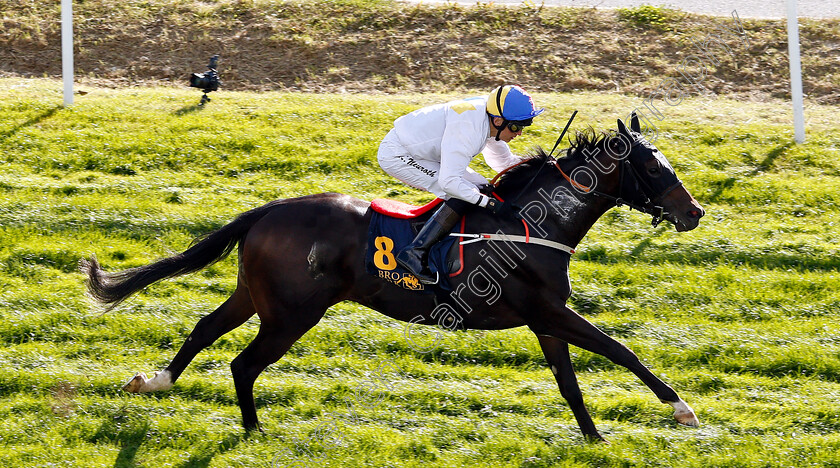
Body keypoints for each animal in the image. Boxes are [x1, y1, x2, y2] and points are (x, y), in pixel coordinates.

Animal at [82, 115, 704, 440]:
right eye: (653, 167)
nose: (694, 211)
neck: (531, 224)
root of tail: (269, 210)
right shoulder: (548, 311)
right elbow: (621, 350)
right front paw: (681, 408)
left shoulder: (545, 321)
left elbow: (570, 382)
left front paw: (594, 438)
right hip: (292, 314)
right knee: (242, 362)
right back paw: (255, 431)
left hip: (256, 297)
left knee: (204, 329)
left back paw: (155, 381)